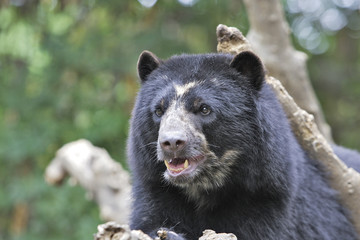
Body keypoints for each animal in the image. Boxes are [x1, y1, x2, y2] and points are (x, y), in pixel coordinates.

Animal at [126, 49, 360, 239]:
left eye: (204, 109)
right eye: (159, 110)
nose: (172, 142)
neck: (204, 187)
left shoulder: (267, 197)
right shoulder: (156, 188)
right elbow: (148, 222)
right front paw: (168, 233)